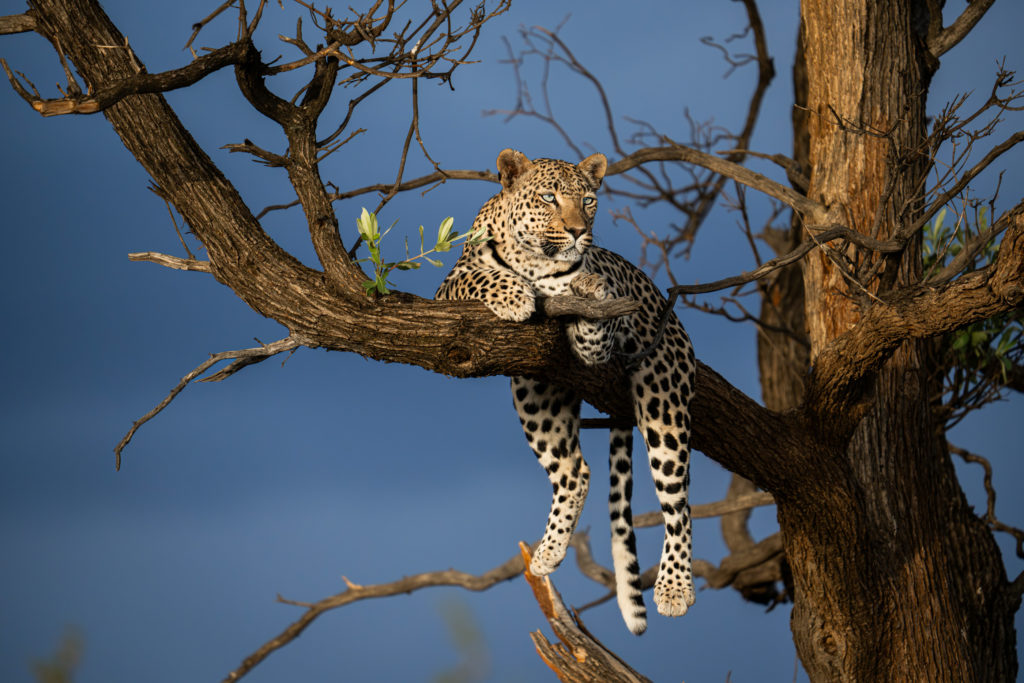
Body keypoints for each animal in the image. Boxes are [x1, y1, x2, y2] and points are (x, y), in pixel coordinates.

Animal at [436, 148, 696, 635]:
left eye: (589, 200)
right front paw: (515, 295)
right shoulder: (449, 289)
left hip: (664, 396)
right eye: (548, 198)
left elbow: (592, 313)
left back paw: (674, 588)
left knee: (678, 501)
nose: (578, 232)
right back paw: (546, 554)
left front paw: (589, 288)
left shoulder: (599, 344)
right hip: (536, 395)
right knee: (576, 471)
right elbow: (484, 278)